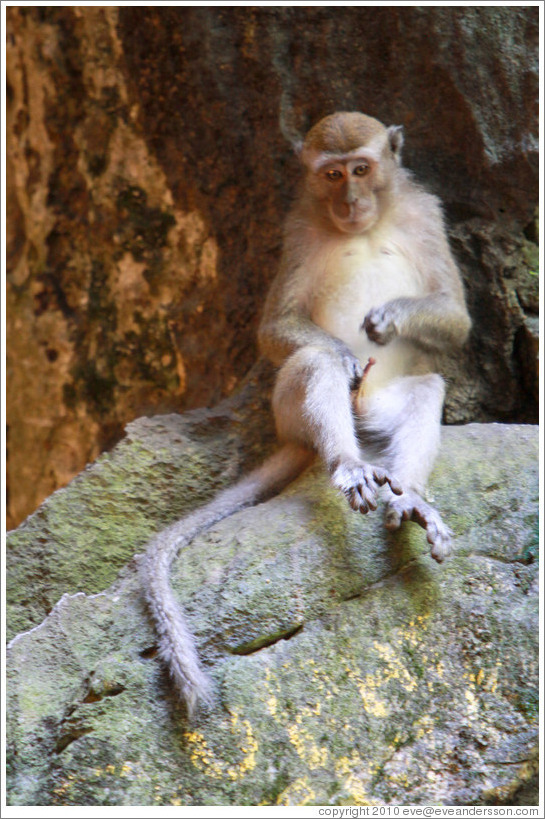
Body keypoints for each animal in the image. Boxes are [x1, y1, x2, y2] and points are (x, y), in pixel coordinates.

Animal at [138, 113, 470, 716]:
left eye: (361, 169)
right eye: (331, 174)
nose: (350, 201)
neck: (364, 229)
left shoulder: (426, 213)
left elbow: (455, 319)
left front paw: (393, 316)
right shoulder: (296, 229)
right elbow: (276, 329)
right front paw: (342, 355)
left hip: (376, 407)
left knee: (427, 387)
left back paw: (409, 497)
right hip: (287, 409)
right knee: (315, 364)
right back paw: (346, 460)